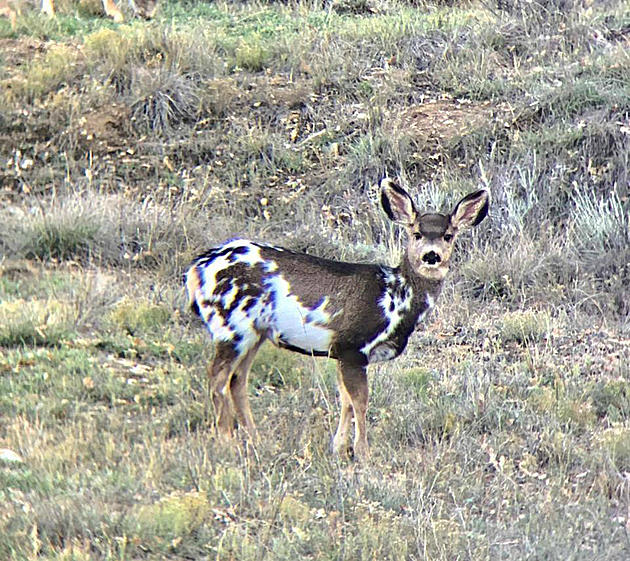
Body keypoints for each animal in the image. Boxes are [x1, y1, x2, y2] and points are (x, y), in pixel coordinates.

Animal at [185, 179, 492, 460]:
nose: (431, 256)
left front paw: (339, 447)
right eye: (416, 233)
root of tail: (196, 271)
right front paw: (363, 453)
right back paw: (226, 442)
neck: (395, 296)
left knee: (237, 379)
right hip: (231, 325)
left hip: (254, 333)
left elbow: (345, 401)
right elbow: (360, 401)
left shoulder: (342, 352)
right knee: (217, 377)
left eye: (449, 235)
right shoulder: (354, 346)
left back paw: (255, 439)